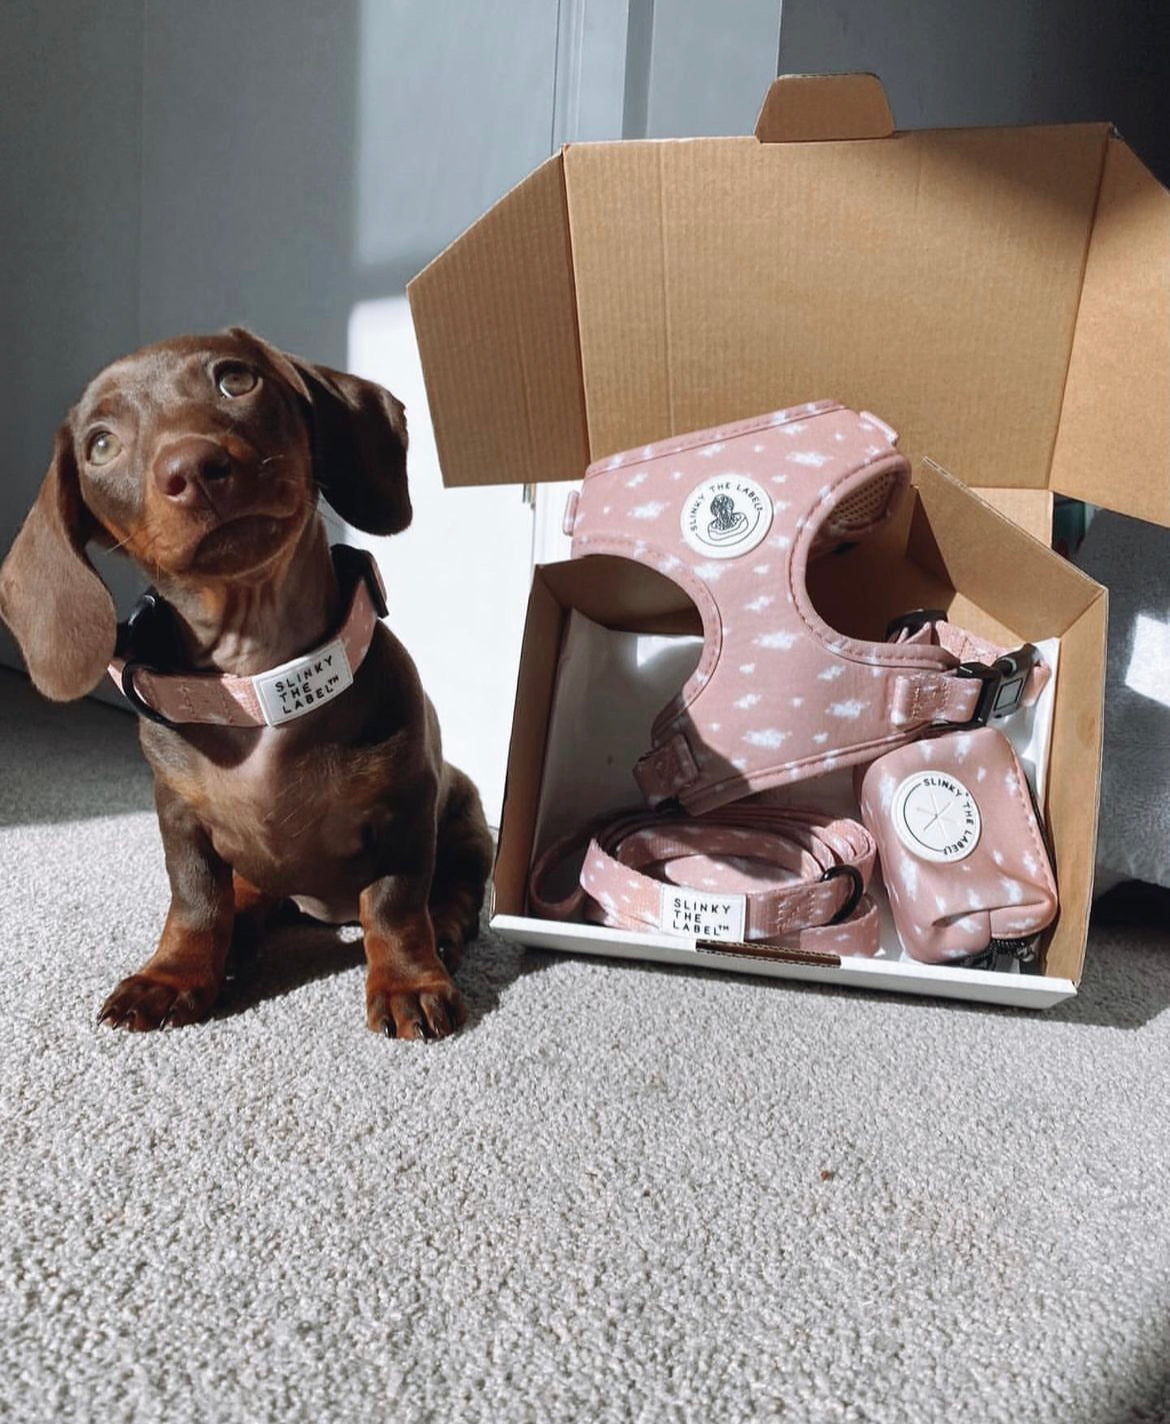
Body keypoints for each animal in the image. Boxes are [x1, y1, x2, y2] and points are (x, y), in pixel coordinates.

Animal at [0, 327, 495, 1042]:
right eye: (100, 444)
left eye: (236, 380)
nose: (193, 469)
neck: (257, 682)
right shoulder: (178, 817)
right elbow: (196, 901)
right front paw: (174, 973)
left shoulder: (405, 809)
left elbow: (395, 904)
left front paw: (407, 981)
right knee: (248, 895)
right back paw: (240, 933)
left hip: (466, 820)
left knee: (453, 888)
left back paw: (447, 928)